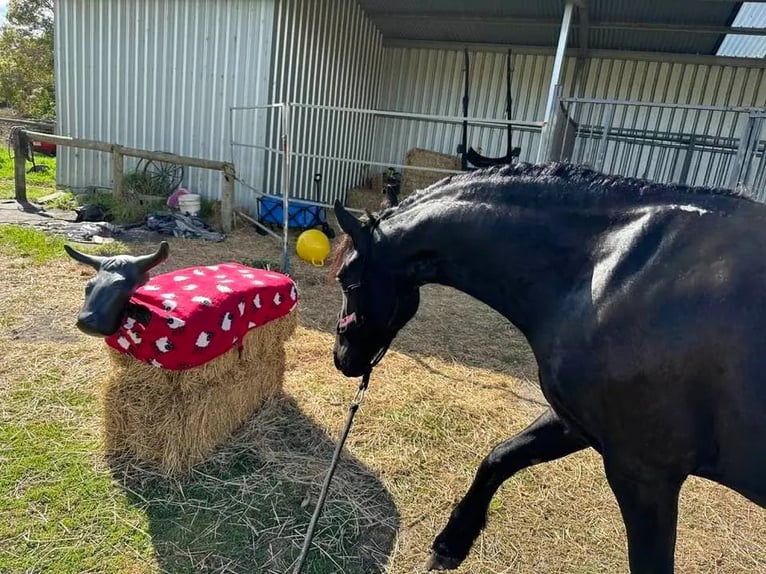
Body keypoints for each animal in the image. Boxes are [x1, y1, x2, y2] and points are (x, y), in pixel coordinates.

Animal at [330, 162, 766, 573]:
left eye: (346, 278)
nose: (342, 359)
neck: (607, 267)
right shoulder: (574, 423)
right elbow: (501, 457)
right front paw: (451, 544)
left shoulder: (643, 474)